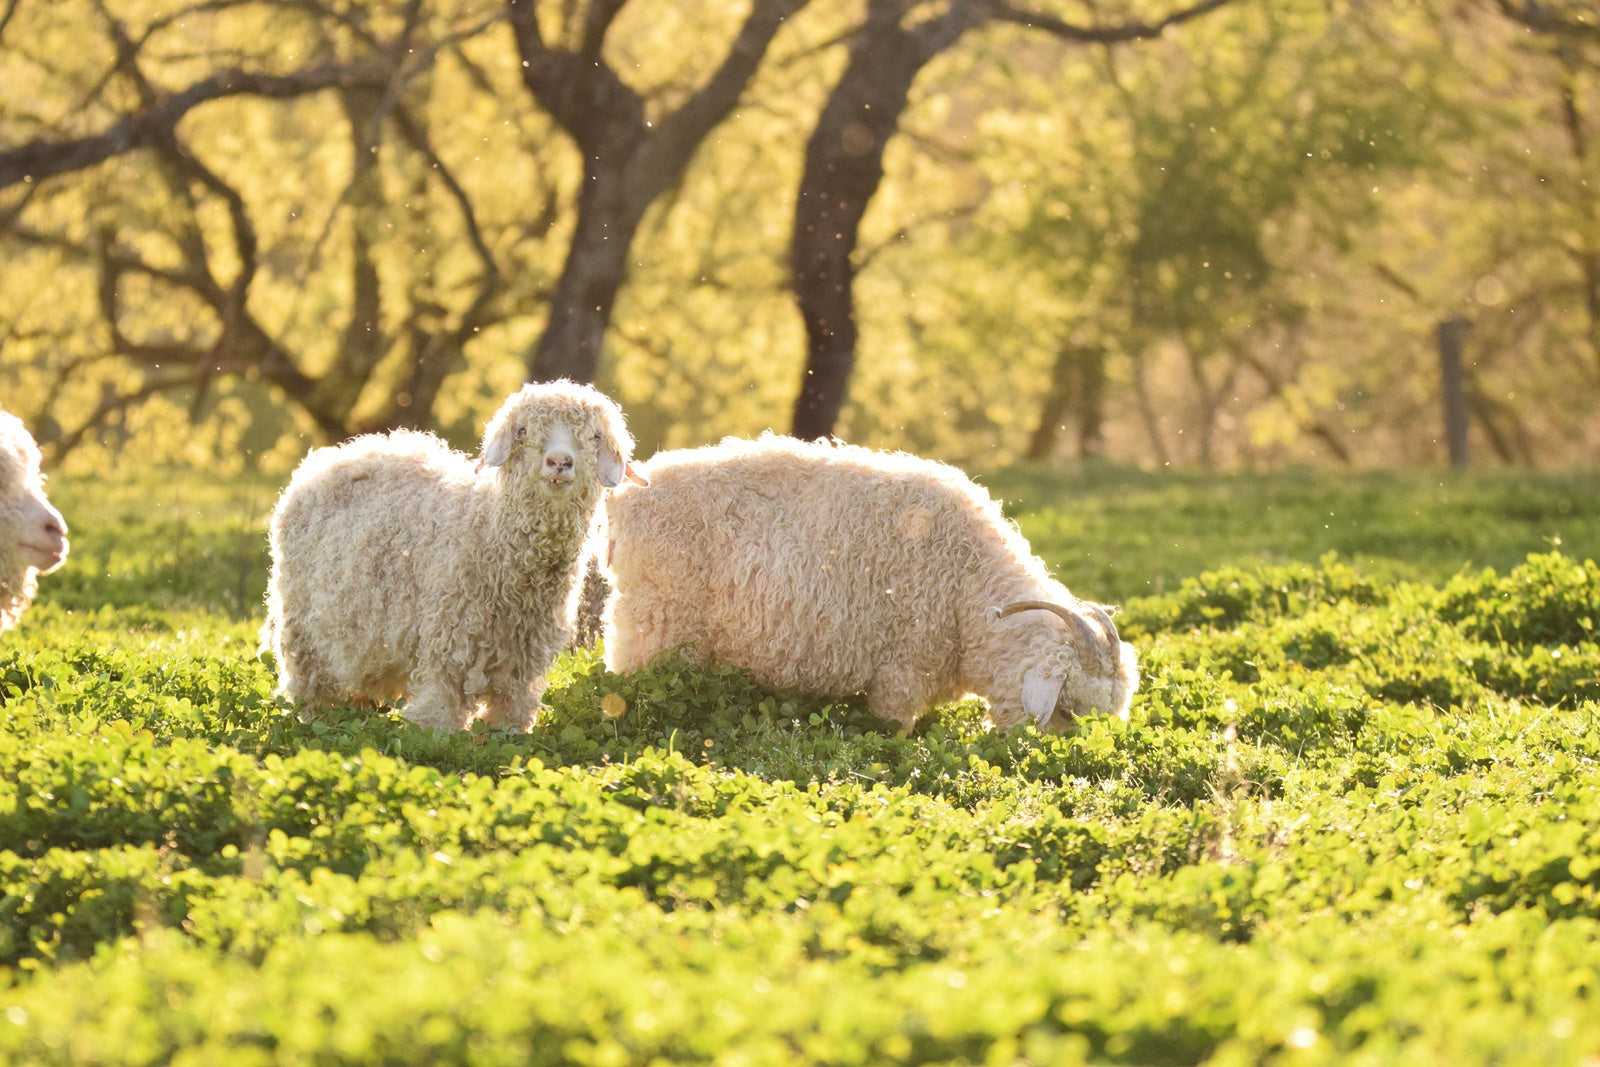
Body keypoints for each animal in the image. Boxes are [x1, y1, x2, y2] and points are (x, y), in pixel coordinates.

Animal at [261, 380, 643, 731]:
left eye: (595, 436)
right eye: (522, 431)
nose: (559, 462)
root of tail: (325, 460)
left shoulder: (521, 662)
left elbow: (508, 718)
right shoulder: (448, 641)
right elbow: (437, 714)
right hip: (301, 623)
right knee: (310, 683)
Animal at [602, 434, 1137, 732]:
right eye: (1067, 708)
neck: (966, 584)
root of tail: (626, 499)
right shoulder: (902, 667)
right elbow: (894, 731)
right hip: (657, 623)